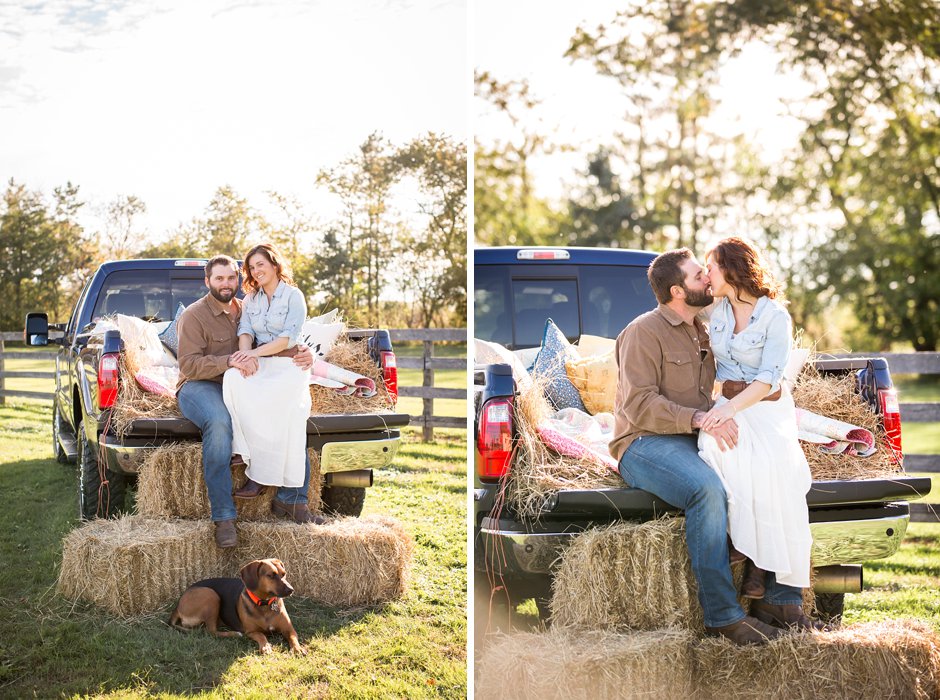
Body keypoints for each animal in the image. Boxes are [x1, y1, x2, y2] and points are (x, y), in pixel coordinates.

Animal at [165, 556, 304, 656]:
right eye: (271, 575)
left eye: (284, 574)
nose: (291, 589)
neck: (264, 604)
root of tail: (178, 605)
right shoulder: (251, 632)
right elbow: (262, 635)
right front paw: (265, 646)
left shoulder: (288, 629)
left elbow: (293, 638)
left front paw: (298, 649)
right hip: (211, 595)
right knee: (211, 632)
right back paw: (234, 633)